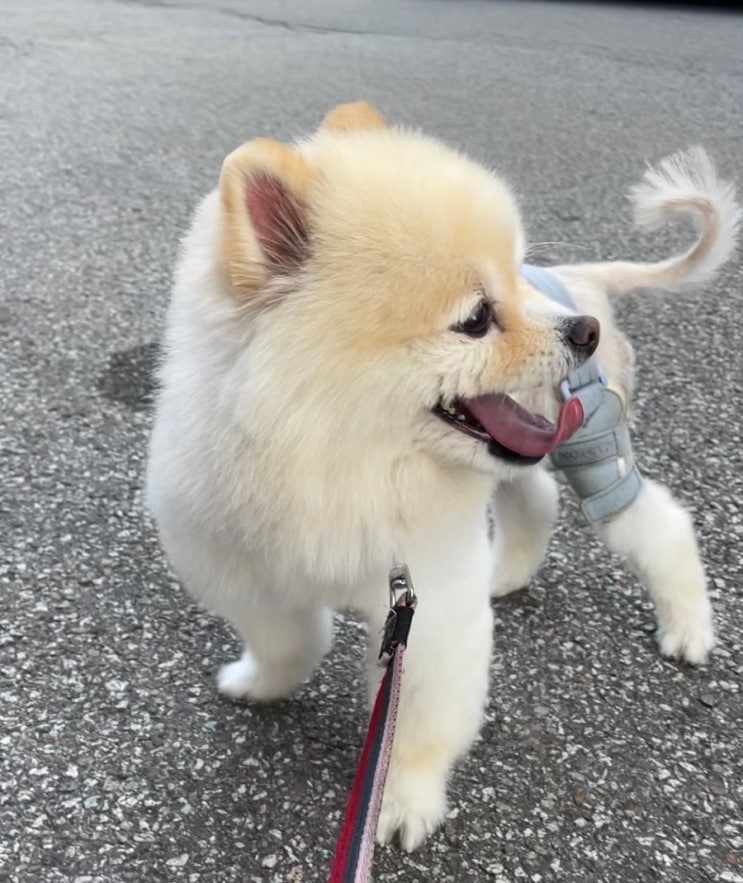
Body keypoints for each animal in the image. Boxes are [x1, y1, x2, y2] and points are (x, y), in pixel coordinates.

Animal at [146, 102, 739, 851]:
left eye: (515, 274)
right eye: (476, 318)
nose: (583, 331)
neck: (338, 459)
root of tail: (583, 278)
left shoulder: (428, 603)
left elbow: (417, 719)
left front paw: (401, 802)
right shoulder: (246, 571)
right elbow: (289, 639)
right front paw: (260, 683)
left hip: (594, 445)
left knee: (659, 523)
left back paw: (687, 629)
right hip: (525, 447)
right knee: (533, 497)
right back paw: (508, 573)